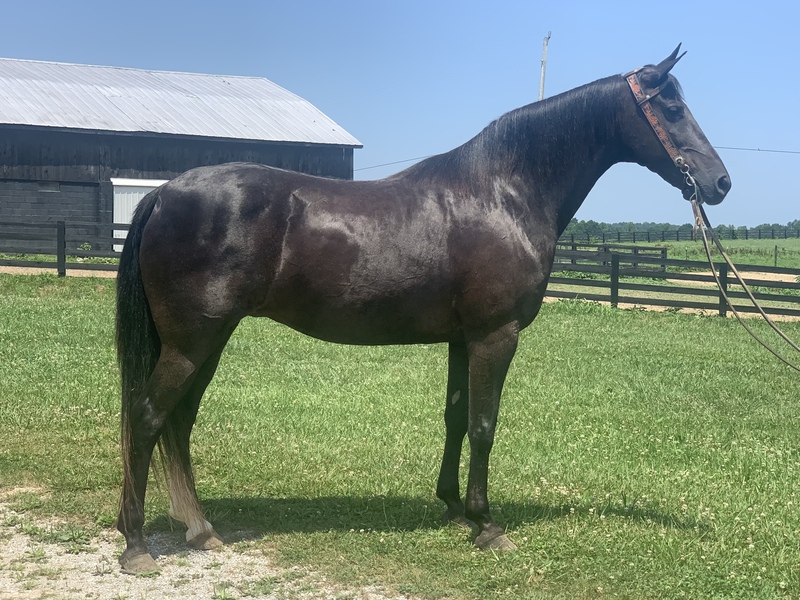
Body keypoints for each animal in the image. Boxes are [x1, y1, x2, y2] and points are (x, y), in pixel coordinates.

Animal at [114, 47, 732, 572]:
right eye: (672, 108)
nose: (720, 182)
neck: (502, 193)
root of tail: (162, 193)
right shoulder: (495, 335)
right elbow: (484, 424)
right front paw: (488, 525)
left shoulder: (462, 338)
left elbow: (456, 418)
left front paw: (454, 507)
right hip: (193, 342)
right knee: (147, 417)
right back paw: (137, 544)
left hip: (205, 342)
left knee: (178, 422)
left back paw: (199, 529)